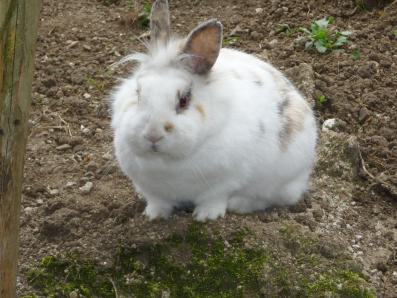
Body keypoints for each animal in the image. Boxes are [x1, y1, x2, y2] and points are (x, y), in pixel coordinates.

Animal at [110, 0, 316, 220]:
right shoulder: (152, 190)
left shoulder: (223, 184)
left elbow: (214, 200)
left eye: (184, 100)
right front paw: (153, 215)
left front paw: (206, 217)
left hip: (282, 180)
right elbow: (158, 202)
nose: (152, 135)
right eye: (138, 93)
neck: (166, 161)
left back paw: (240, 204)